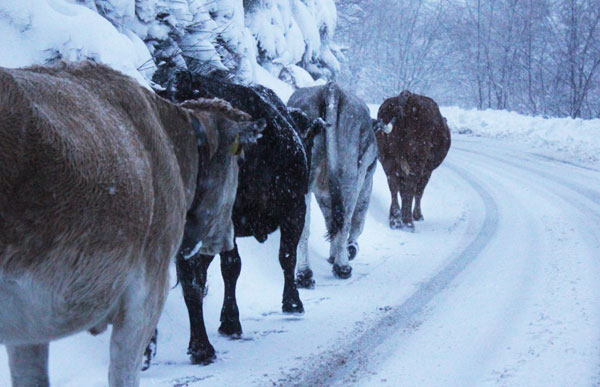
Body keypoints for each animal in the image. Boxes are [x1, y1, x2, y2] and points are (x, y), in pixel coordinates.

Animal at [288, 82, 382, 284]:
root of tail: (331, 88)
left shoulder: (323, 191)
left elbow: (329, 218)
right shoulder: (366, 183)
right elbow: (358, 220)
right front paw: (349, 249)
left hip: (303, 179)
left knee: (304, 226)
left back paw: (304, 274)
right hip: (350, 174)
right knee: (345, 219)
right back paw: (343, 267)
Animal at [378, 91, 448, 230]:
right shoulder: (427, 172)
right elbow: (418, 191)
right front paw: (418, 215)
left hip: (388, 161)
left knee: (393, 186)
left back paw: (395, 220)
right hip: (417, 163)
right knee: (411, 187)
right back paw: (408, 222)